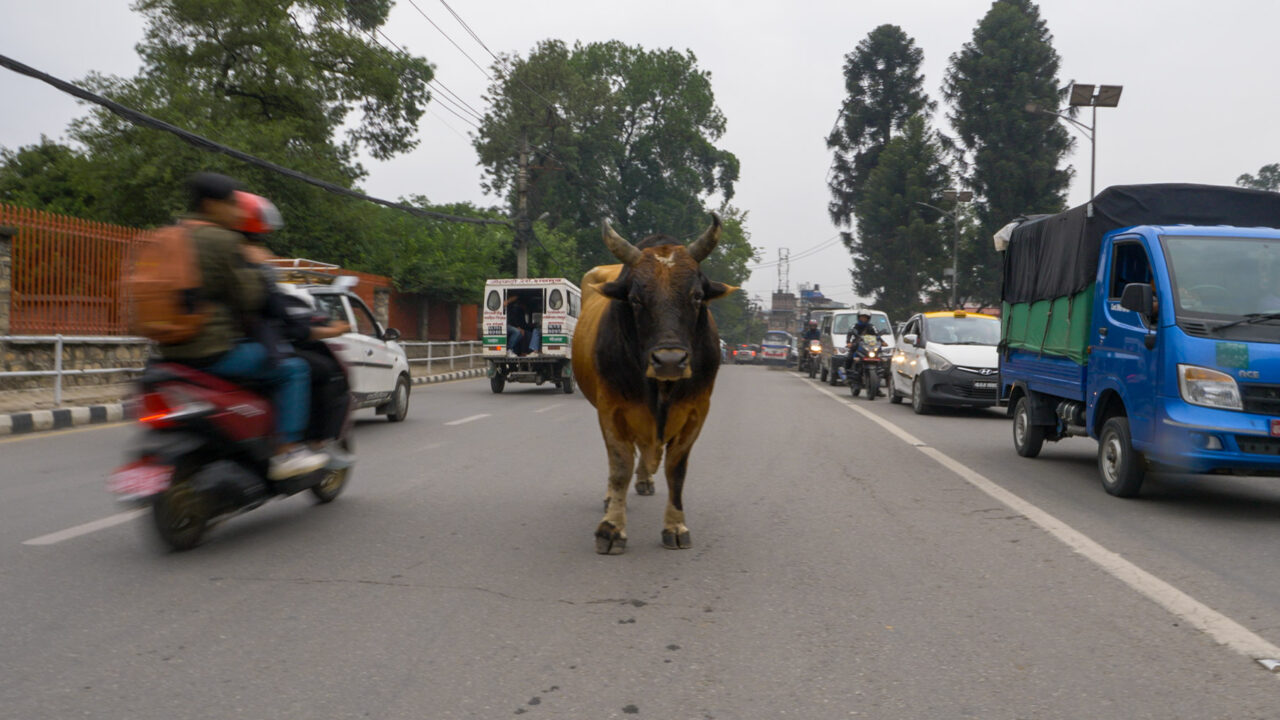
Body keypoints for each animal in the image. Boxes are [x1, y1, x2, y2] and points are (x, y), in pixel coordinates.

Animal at [572, 214, 735, 554]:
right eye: (635, 299)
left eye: (696, 296)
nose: (670, 361)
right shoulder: (611, 408)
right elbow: (619, 465)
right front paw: (611, 529)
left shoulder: (696, 411)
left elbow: (676, 469)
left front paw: (675, 526)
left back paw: (646, 480)